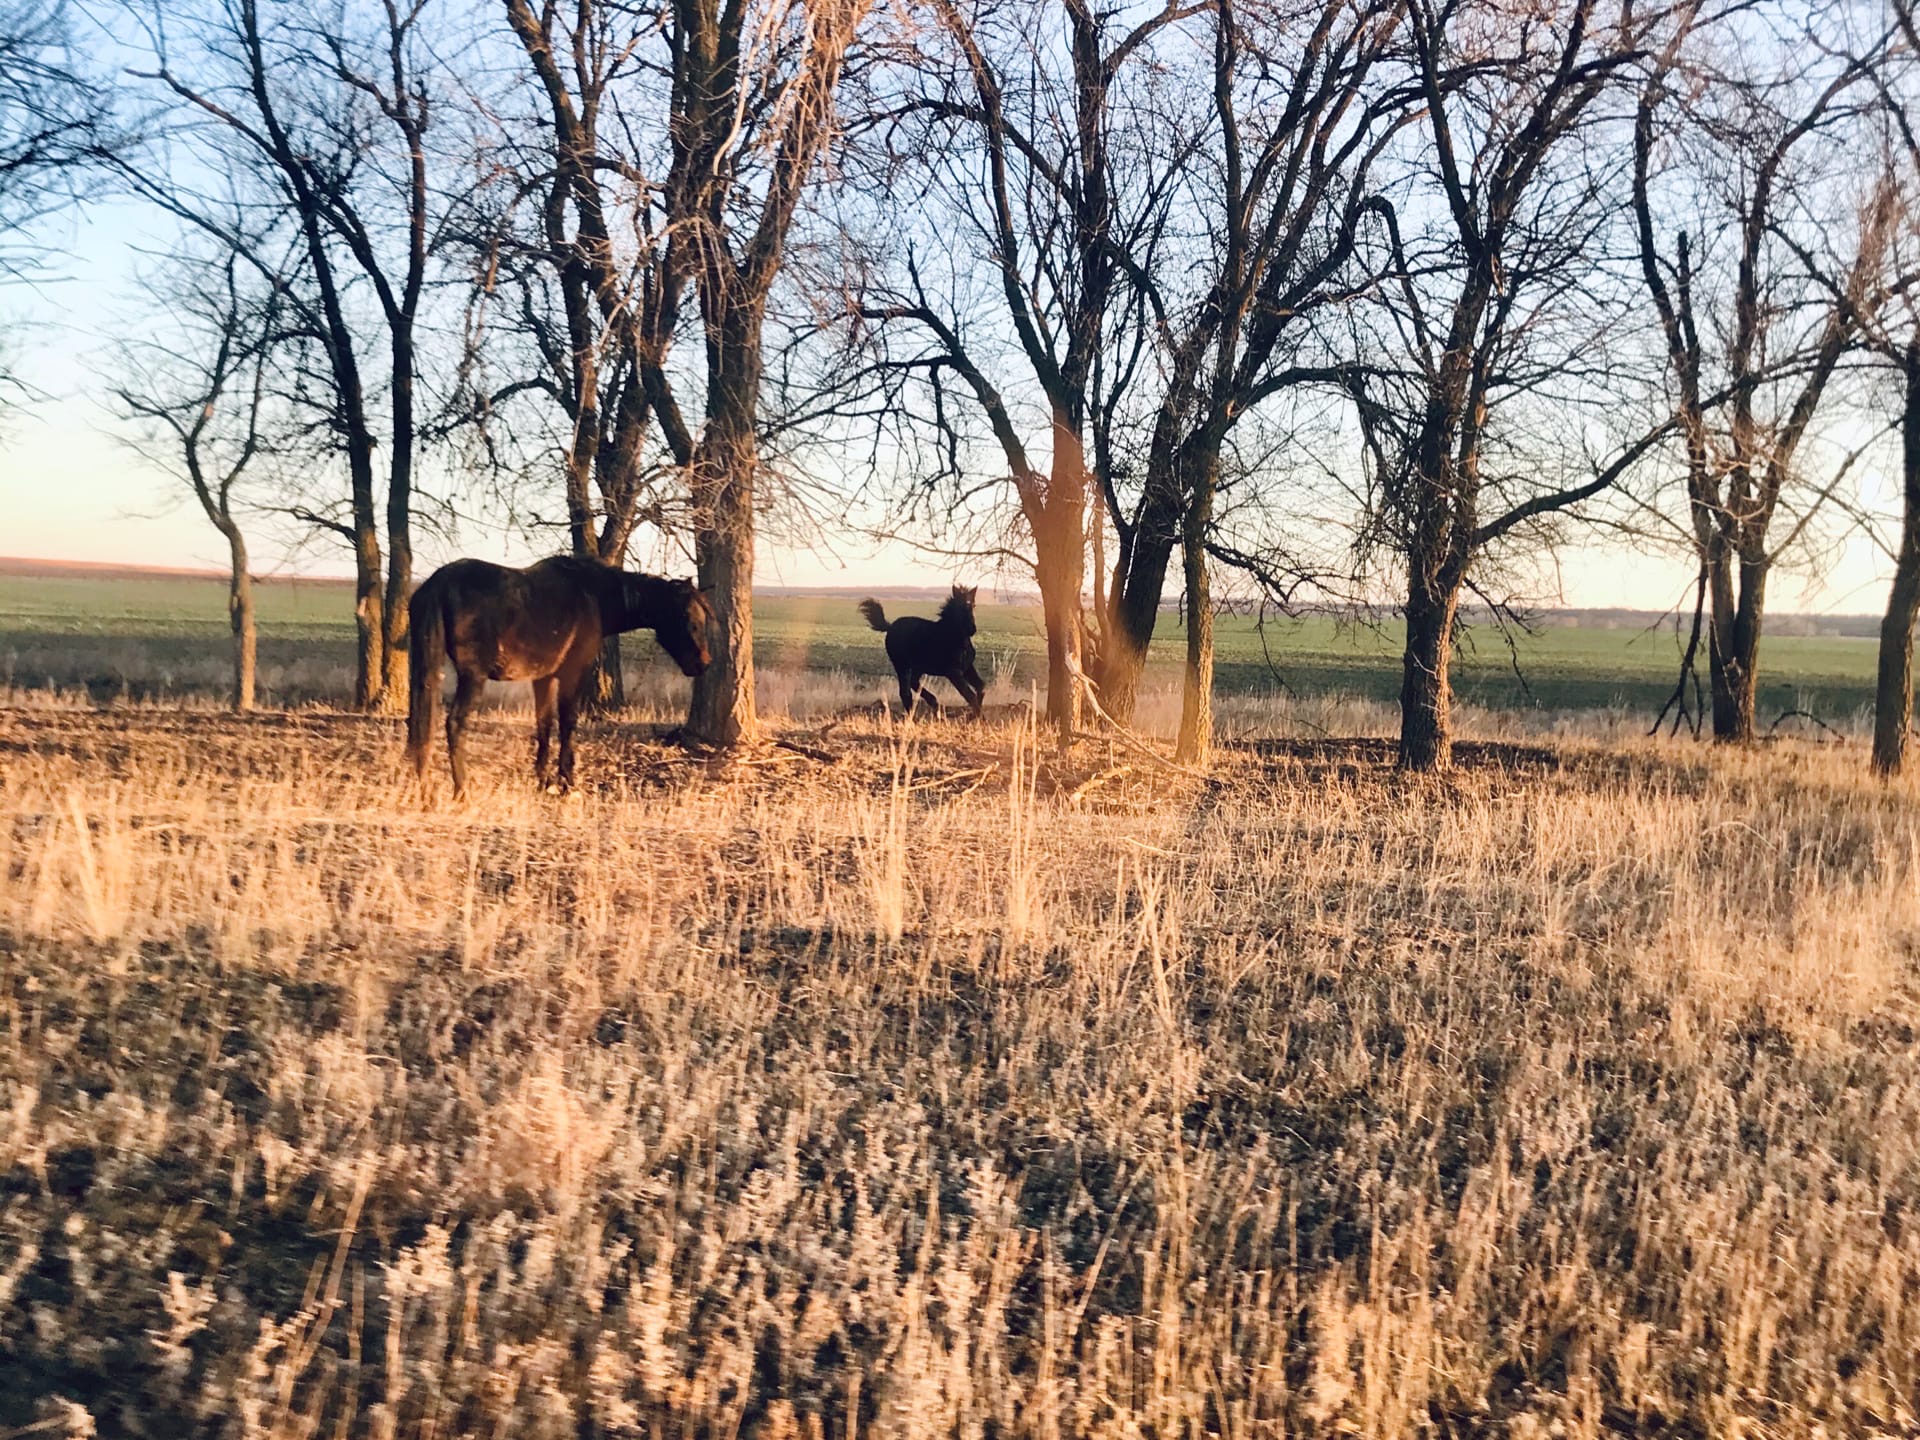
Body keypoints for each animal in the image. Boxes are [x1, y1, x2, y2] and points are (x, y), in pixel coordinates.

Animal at [407, 556, 714, 794]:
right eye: (687, 618)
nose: (703, 664)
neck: (593, 596)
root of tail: (440, 582)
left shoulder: (542, 678)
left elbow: (544, 724)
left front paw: (543, 780)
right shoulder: (571, 674)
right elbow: (567, 723)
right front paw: (567, 781)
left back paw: (421, 785)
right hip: (473, 677)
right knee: (455, 723)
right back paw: (462, 790)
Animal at [860, 587, 990, 721]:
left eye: (973, 605)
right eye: (959, 606)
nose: (972, 629)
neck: (957, 639)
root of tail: (890, 627)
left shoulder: (967, 667)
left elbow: (981, 687)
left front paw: (974, 716)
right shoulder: (953, 672)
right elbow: (970, 695)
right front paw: (980, 718)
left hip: (918, 667)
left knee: (913, 683)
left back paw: (934, 704)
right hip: (901, 665)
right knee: (905, 692)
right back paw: (914, 716)